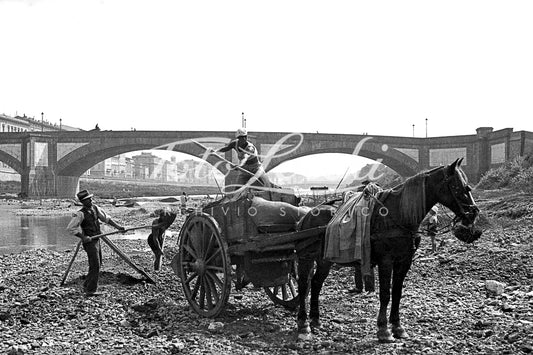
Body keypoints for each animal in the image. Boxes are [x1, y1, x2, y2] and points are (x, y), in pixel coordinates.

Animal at [298, 160, 480, 344]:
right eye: (459, 186)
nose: (473, 213)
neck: (398, 215)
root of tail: (306, 216)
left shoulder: (404, 261)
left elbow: (397, 292)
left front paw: (397, 327)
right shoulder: (386, 261)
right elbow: (385, 294)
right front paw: (383, 329)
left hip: (324, 260)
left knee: (315, 283)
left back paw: (315, 319)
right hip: (306, 257)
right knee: (303, 285)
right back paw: (303, 325)